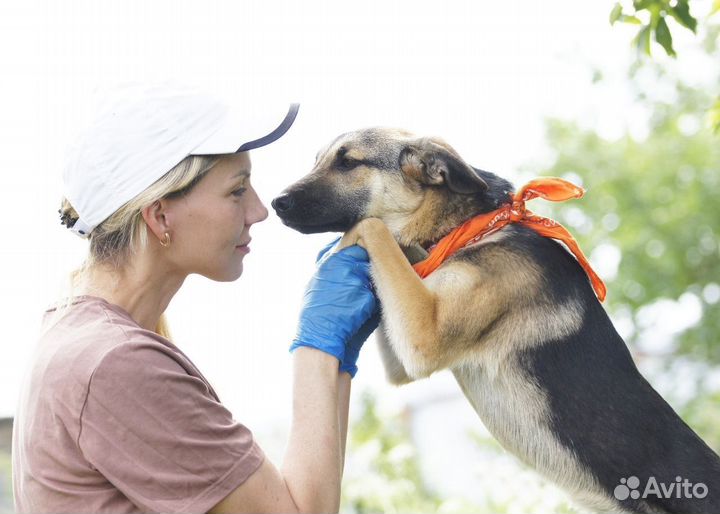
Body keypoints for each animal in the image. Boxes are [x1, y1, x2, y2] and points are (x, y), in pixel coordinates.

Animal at [272, 126, 720, 510]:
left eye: (348, 163)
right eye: (320, 160)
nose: (276, 202)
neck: (472, 227)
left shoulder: (422, 335)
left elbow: (371, 227)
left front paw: (335, 257)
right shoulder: (404, 347)